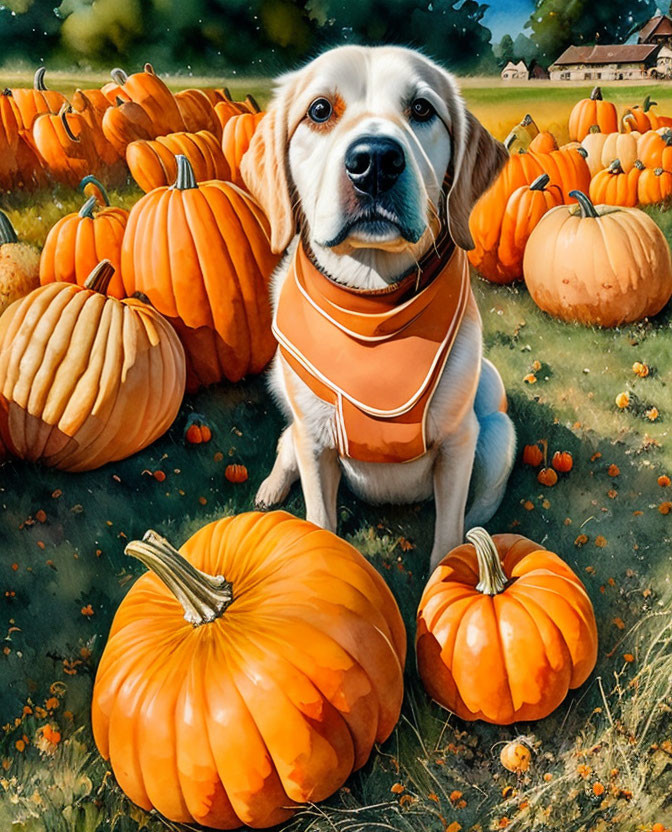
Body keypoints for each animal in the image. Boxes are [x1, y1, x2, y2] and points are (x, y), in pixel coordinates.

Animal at [242, 44, 516, 564]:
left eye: (422, 109)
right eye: (320, 110)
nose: (374, 160)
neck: (373, 305)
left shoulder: (459, 443)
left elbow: (448, 537)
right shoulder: (315, 445)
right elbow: (321, 521)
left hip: (496, 439)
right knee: (284, 449)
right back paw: (268, 490)